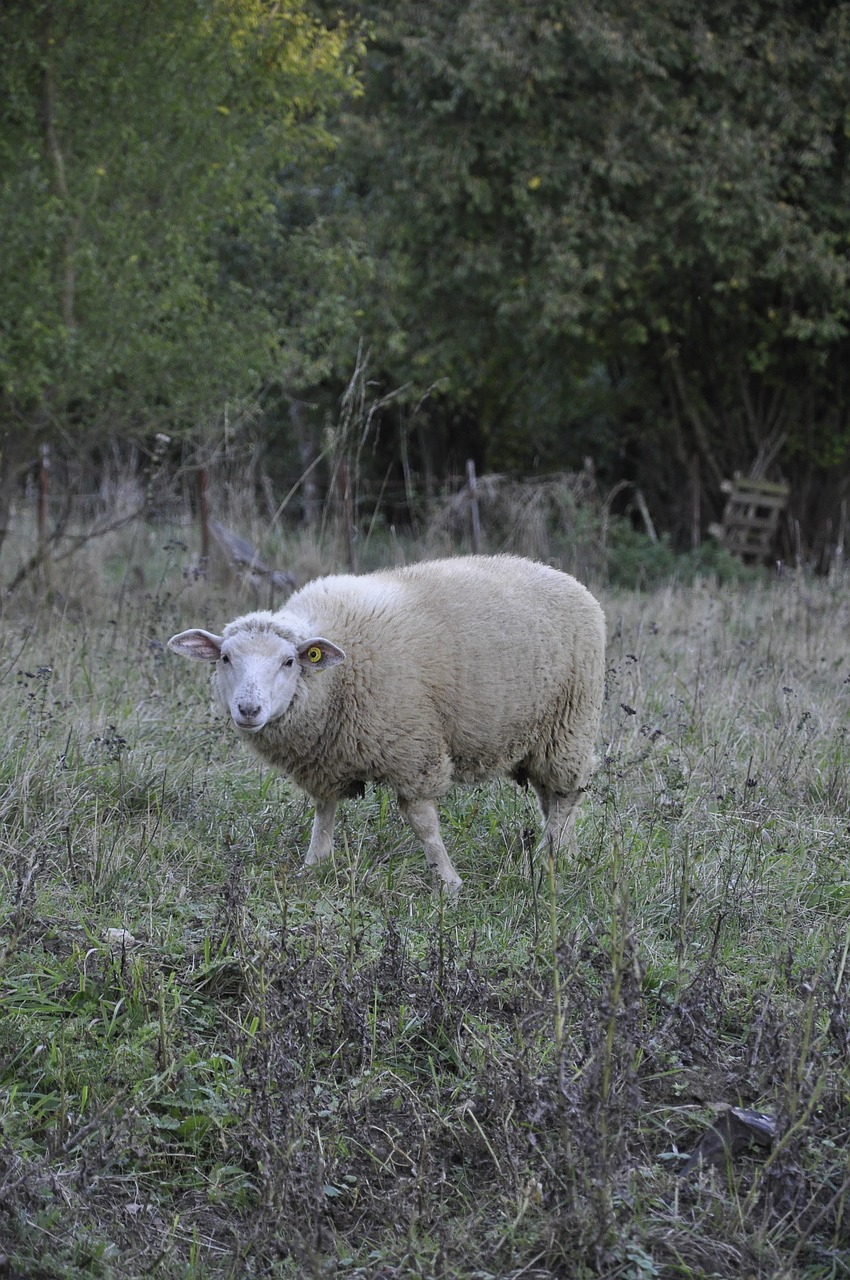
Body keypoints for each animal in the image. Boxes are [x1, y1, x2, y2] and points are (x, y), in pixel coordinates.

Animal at [167, 555, 604, 896]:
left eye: (289, 661)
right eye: (225, 658)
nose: (248, 709)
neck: (337, 677)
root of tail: (567, 579)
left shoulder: (414, 749)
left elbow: (423, 822)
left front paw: (448, 882)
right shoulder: (325, 758)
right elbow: (324, 811)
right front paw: (314, 864)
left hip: (570, 723)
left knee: (566, 794)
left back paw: (546, 856)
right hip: (541, 736)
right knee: (552, 798)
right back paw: (566, 852)